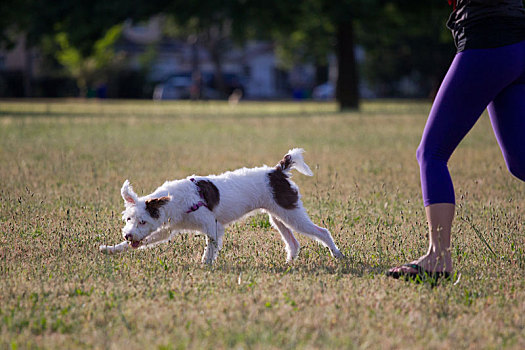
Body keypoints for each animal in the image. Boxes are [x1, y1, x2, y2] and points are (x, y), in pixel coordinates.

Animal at [99, 148, 344, 266]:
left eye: (143, 221)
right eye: (129, 219)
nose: (129, 235)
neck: (175, 199)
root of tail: (277, 171)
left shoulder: (212, 225)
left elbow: (211, 246)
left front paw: (205, 264)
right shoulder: (168, 228)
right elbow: (146, 241)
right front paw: (110, 249)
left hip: (292, 214)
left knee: (322, 231)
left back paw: (337, 254)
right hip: (278, 216)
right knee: (293, 242)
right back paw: (290, 261)